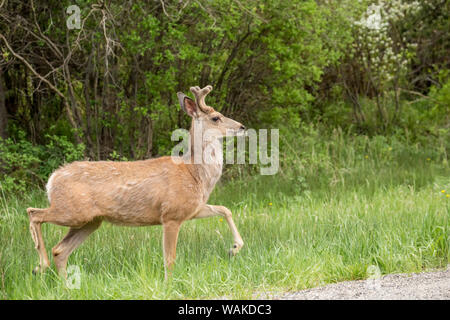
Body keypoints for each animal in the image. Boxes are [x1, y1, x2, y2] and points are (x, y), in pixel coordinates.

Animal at [27, 85, 246, 278]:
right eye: (216, 117)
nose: (242, 127)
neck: (194, 173)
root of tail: (52, 179)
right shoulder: (171, 214)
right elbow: (170, 259)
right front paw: (168, 284)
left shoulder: (192, 209)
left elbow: (225, 209)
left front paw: (234, 248)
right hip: (73, 211)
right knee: (34, 213)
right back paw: (40, 266)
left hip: (90, 221)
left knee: (59, 250)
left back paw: (62, 284)